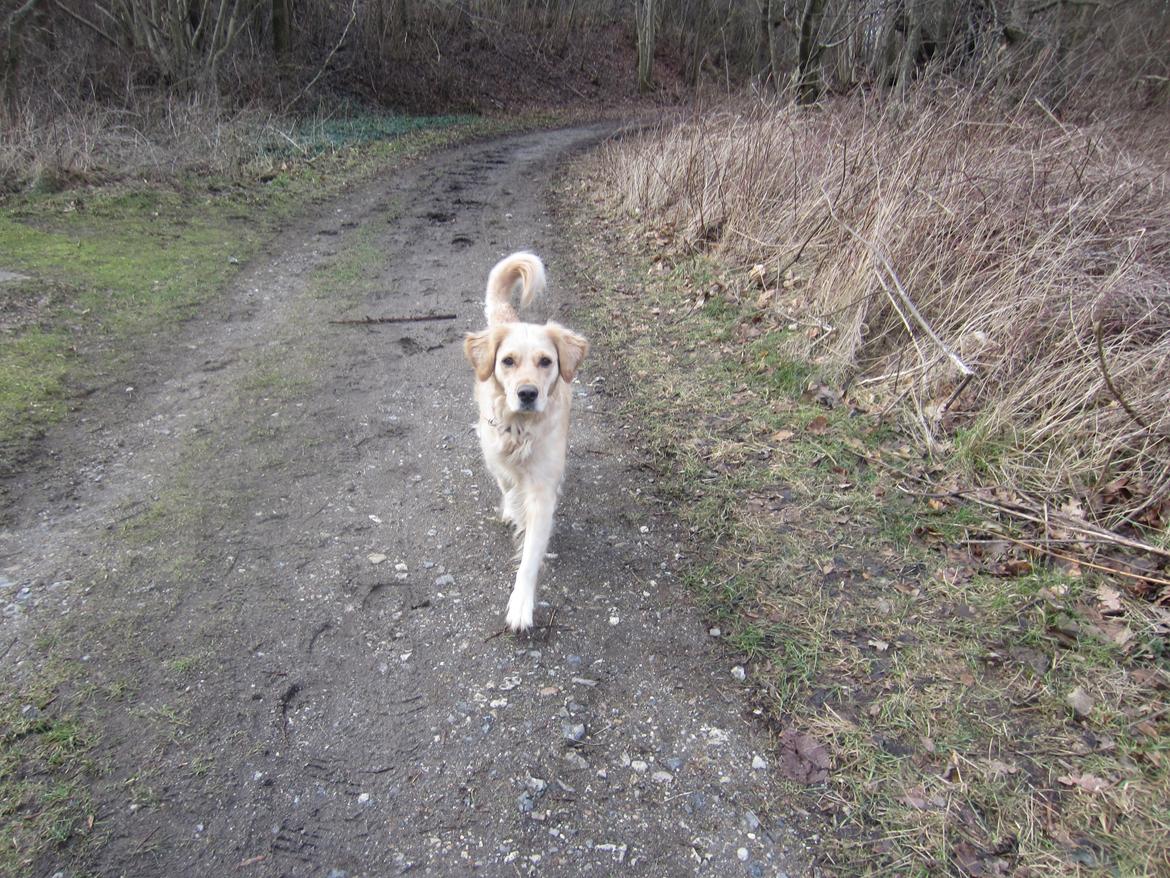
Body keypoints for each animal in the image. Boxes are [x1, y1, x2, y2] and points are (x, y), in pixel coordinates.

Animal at [463, 254, 589, 632]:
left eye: (546, 361)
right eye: (508, 361)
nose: (528, 393)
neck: (520, 430)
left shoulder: (543, 492)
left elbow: (532, 552)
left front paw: (521, 602)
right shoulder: (495, 453)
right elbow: (507, 485)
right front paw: (511, 509)